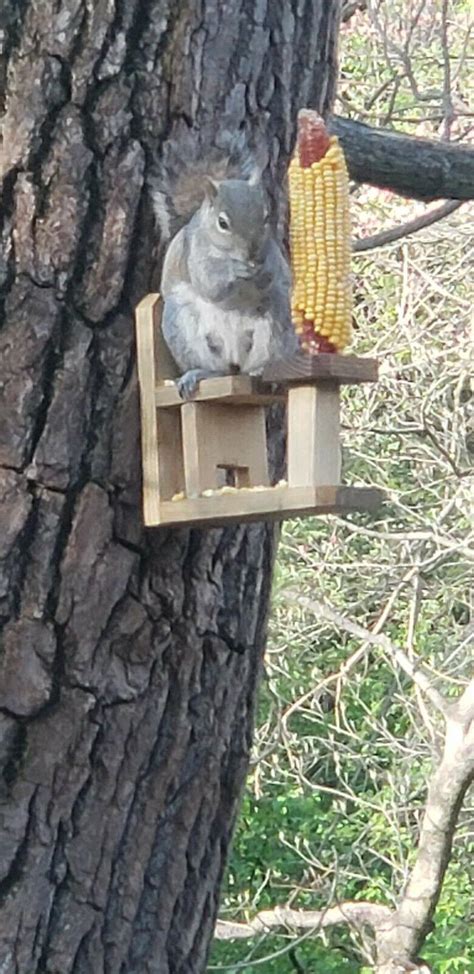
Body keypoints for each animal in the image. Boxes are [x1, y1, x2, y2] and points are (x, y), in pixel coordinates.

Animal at [149, 132, 296, 398]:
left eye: (266, 217)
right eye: (222, 223)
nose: (252, 253)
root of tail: (234, 356)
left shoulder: (272, 253)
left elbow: (273, 275)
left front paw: (261, 272)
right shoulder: (195, 256)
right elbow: (210, 285)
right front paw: (234, 271)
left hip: (277, 324)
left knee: (255, 364)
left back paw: (260, 371)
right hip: (183, 328)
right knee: (217, 370)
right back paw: (198, 374)